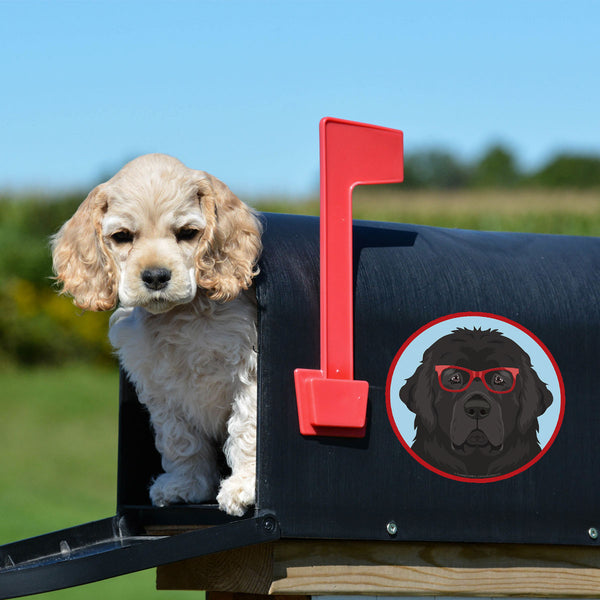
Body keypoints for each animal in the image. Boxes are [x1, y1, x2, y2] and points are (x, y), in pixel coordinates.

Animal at [53, 155, 262, 516]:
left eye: (187, 233)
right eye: (122, 236)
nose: (155, 276)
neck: (178, 316)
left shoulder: (248, 371)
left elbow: (247, 428)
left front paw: (244, 487)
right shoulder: (161, 389)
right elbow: (180, 440)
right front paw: (185, 486)